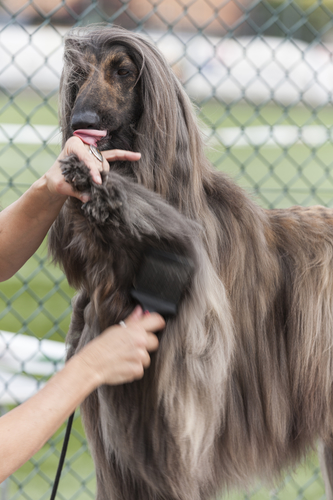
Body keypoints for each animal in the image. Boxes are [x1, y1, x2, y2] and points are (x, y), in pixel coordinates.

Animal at [48, 26, 333, 500]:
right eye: (78, 76)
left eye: (123, 71)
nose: (80, 123)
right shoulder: (120, 446)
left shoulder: (172, 434)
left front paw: (106, 190)